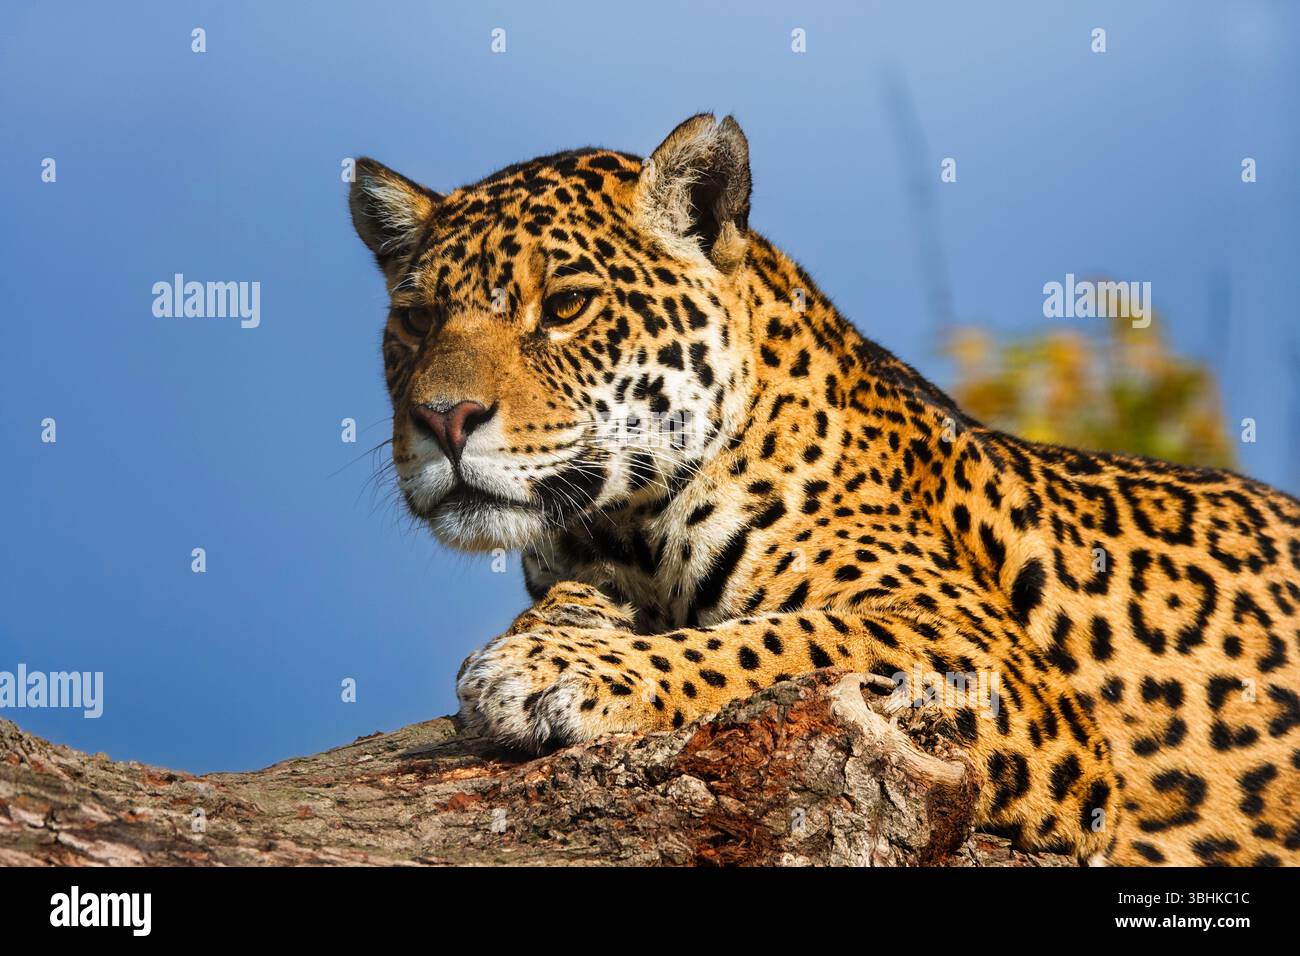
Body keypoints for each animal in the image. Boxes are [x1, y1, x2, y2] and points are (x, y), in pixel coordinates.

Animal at [349, 114, 1300, 866]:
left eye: (568, 305)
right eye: (416, 320)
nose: (444, 419)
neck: (622, 524)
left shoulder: (994, 660)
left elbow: (786, 642)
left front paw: (555, 667)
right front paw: (559, 631)